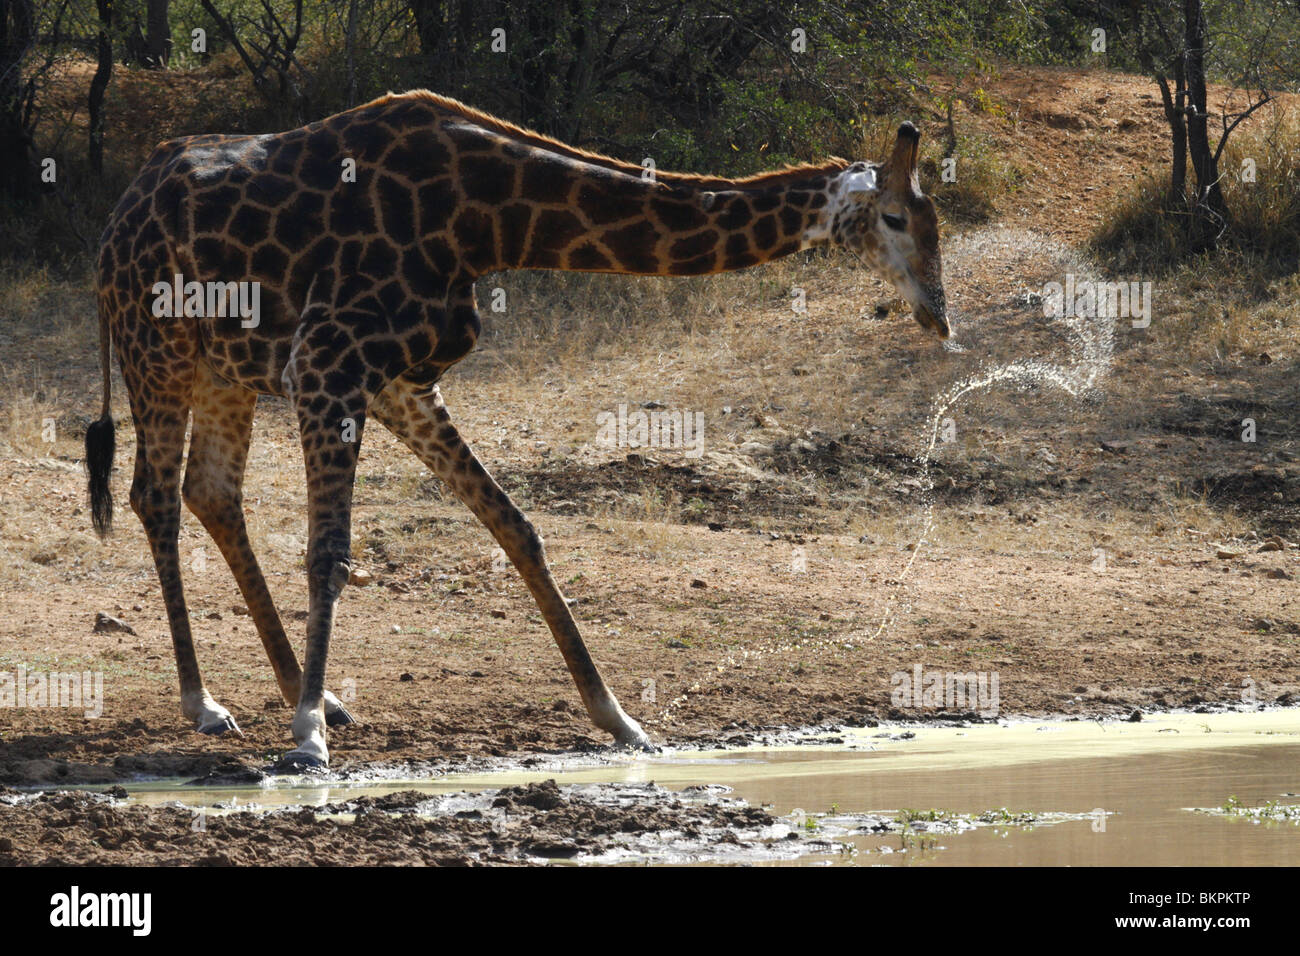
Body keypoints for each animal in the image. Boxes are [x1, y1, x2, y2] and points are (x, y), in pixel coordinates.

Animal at [85, 91, 947, 770]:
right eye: (896, 218)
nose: (939, 314)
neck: (484, 219)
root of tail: (116, 215)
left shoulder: (399, 380)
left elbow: (515, 525)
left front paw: (620, 719)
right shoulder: (331, 363)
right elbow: (330, 553)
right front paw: (304, 743)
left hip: (222, 369)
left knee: (210, 493)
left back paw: (312, 694)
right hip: (157, 347)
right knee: (154, 496)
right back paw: (209, 703)